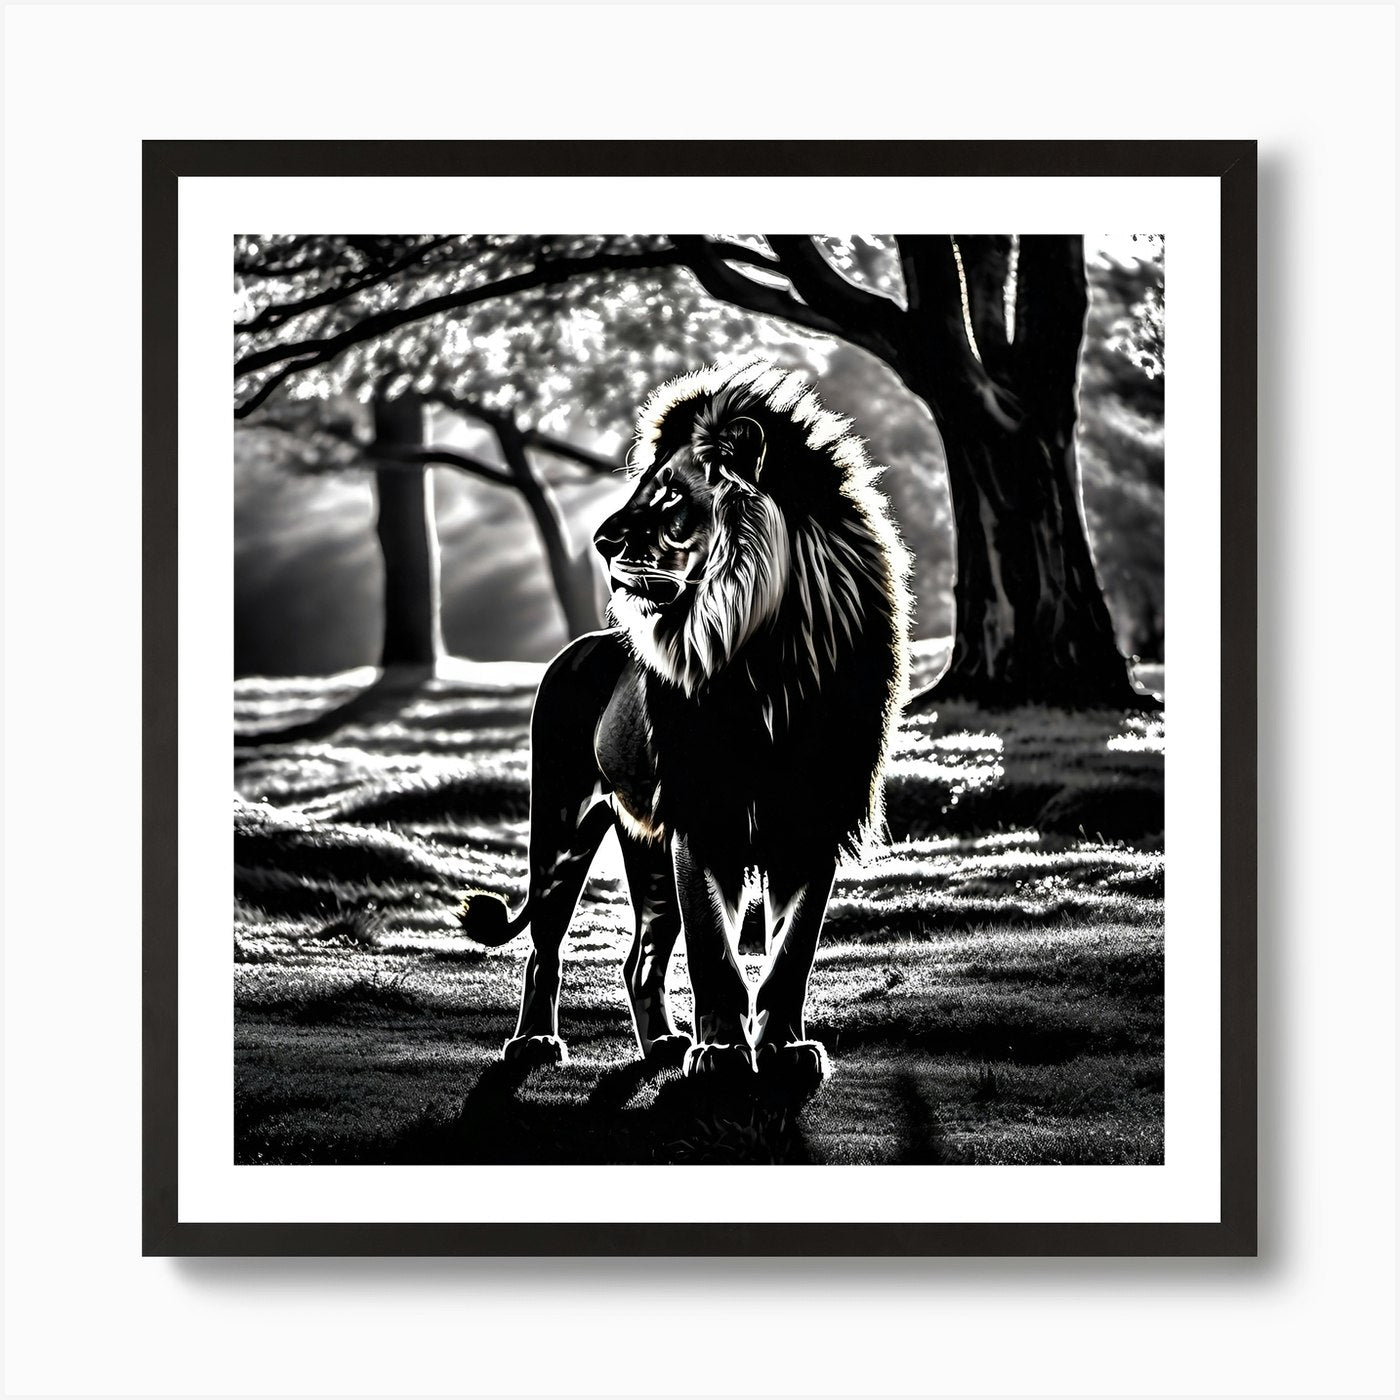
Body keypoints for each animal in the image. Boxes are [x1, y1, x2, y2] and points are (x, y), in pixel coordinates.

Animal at [460, 357, 910, 1084]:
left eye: (670, 497)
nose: (601, 539)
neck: (770, 650)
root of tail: (574, 648)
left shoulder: (811, 816)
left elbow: (790, 953)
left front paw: (784, 1050)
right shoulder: (701, 813)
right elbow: (714, 950)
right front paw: (723, 1052)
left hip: (645, 843)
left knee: (639, 958)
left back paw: (662, 1045)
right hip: (562, 823)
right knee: (543, 945)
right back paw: (534, 1042)